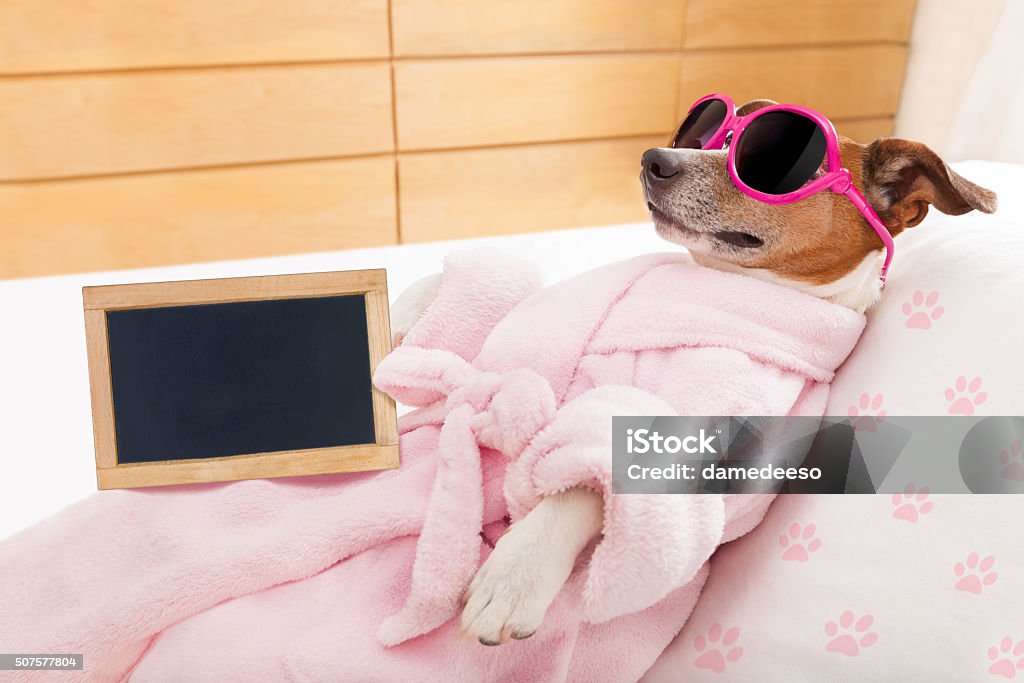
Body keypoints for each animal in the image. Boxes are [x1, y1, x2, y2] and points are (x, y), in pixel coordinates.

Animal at [387, 96, 995, 647]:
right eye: (706, 132)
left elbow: (596, 482)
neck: (724, 283)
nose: (654, 158)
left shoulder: (715, 421)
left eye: (771, 160)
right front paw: (398, 312)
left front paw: (517, 573)